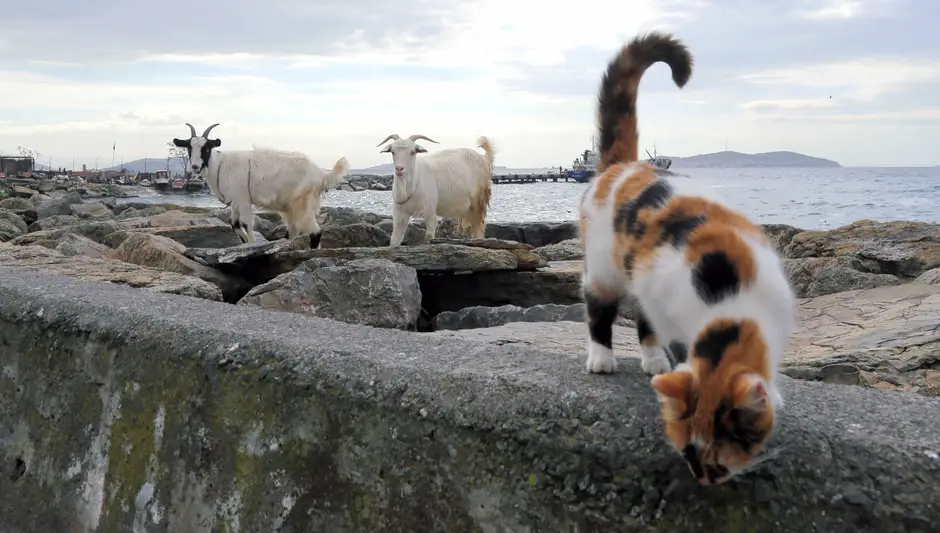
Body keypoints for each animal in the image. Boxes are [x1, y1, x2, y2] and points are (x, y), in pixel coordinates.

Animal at [173, 122, 348, 247]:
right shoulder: (235, 201)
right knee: (293, 230)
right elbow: (234, 224)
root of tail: (322, 173)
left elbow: (246, 224)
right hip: (290, 206)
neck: (221, 165)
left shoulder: (243, 200)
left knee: (315, 232)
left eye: (207, 147)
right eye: (189, 147)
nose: (195, 167)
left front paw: (251, 245)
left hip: (303, 202)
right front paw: (245, 242)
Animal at [580, 31, 792, 484]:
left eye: (726, 454)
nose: (704, 478)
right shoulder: (668, 304)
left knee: (642, 320)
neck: (730, 303)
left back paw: (654, 362)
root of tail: (622, 166)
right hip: (604, 268)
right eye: (688, 450)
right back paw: (606, 358)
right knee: (599, 310)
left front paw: (776, 394)